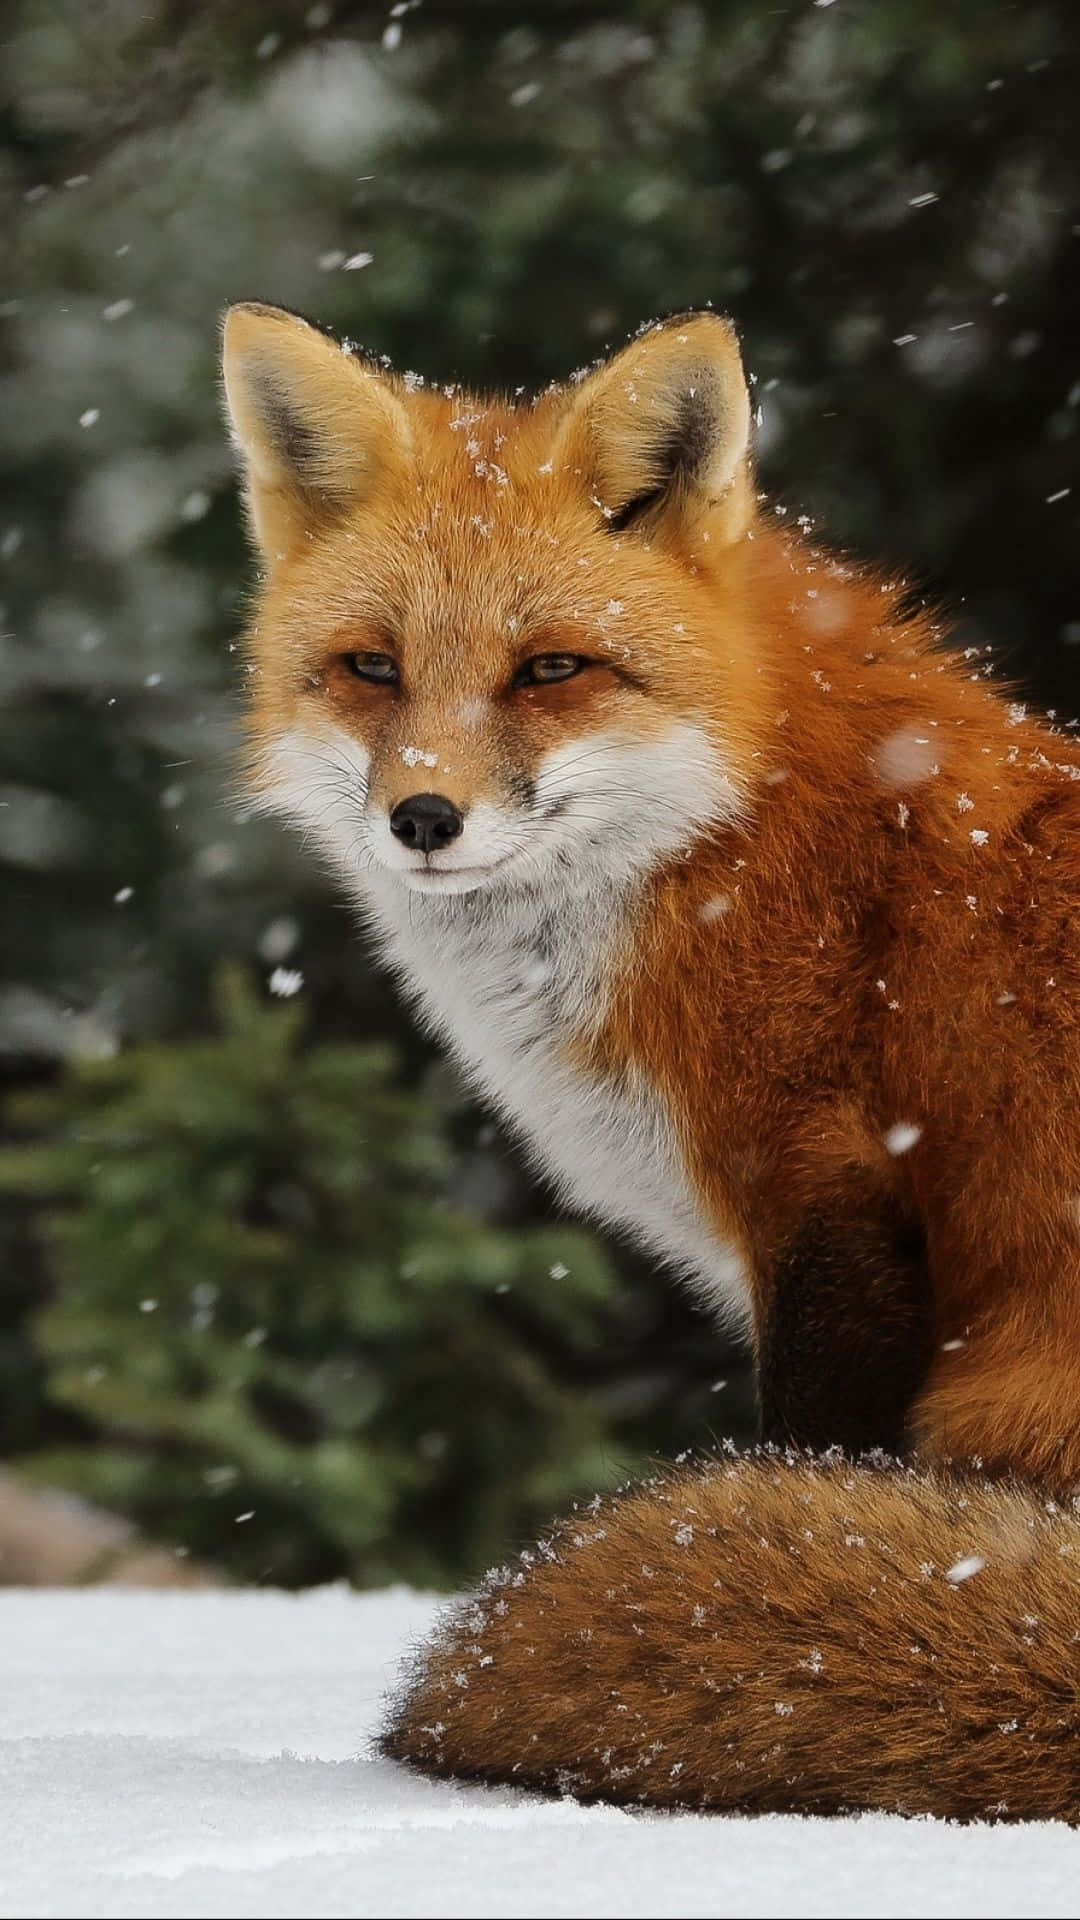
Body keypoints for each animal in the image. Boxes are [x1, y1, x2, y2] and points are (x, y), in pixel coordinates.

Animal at [222, 302, 1080, 1822]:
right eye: (373, 667)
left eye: (551, 668)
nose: (423, 818)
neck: (734, 832)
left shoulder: (828, 1198)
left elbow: (810, 1463)